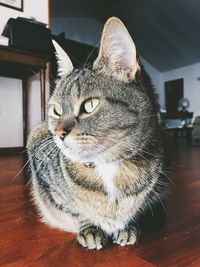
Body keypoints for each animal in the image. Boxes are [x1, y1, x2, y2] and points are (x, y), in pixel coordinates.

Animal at [27, 17, 167, 251]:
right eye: (56, 110)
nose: (58, 133)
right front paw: (90, 228)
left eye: (90, 105)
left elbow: (138, 209)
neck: (108, 166)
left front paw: (128, 226)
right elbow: (73, 208)